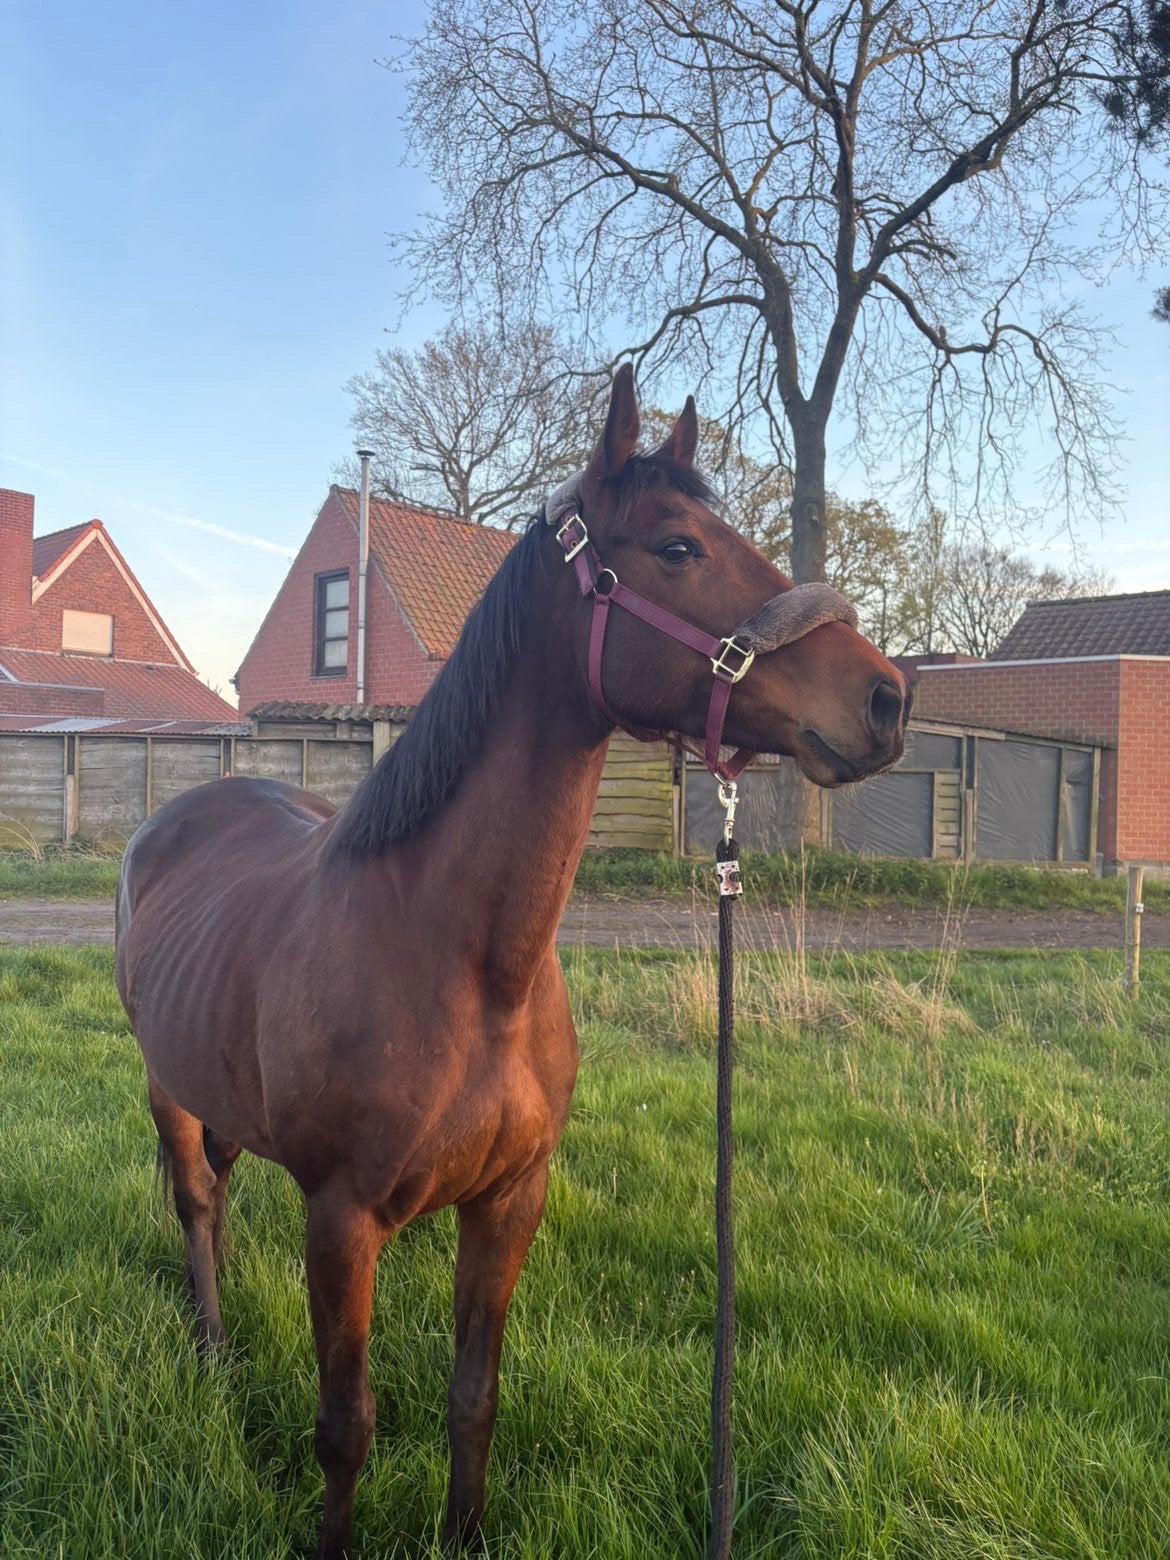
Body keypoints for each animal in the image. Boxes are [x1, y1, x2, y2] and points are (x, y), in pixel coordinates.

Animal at [115, 365, 910, 1558]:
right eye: (678, 546)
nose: (886, 699)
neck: (461, 963)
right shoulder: (342, 1219)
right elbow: (345, 1426)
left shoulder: (509, 1201)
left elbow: (472, 1398)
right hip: (167, 1086)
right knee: (196, 1201)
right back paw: (212, 1348)